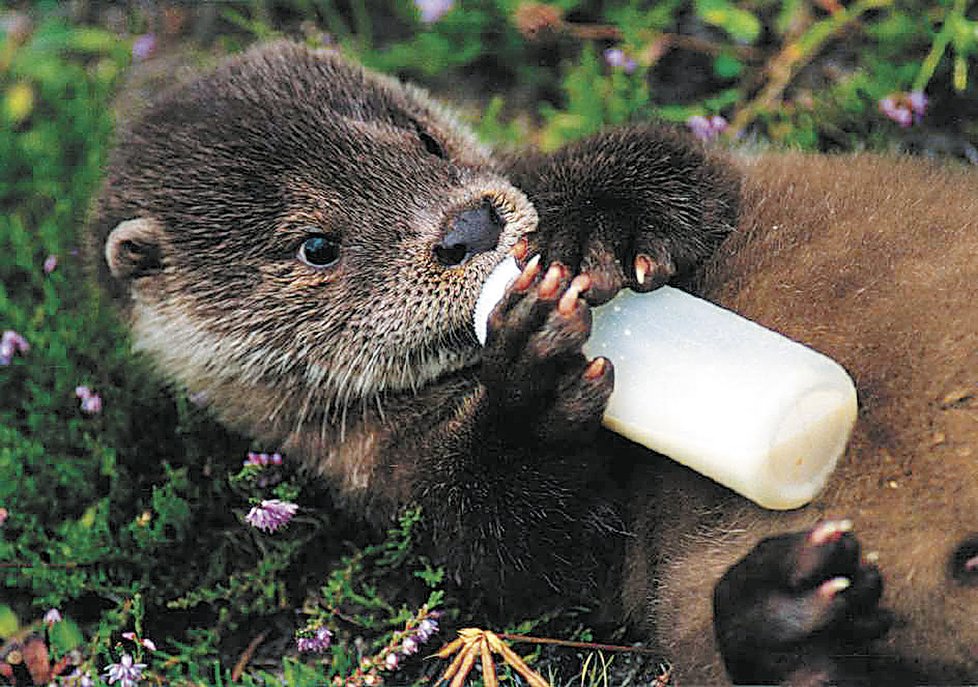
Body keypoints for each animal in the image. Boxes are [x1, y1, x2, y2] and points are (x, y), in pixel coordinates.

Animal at [87, 40, 972, 684]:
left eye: (423, 138)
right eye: (316, 246)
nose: (469, 226)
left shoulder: (702, 169)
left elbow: (679, 161)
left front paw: (594, 223)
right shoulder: (389, 483)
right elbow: (530, 546)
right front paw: (533, 396)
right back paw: (794, 616)